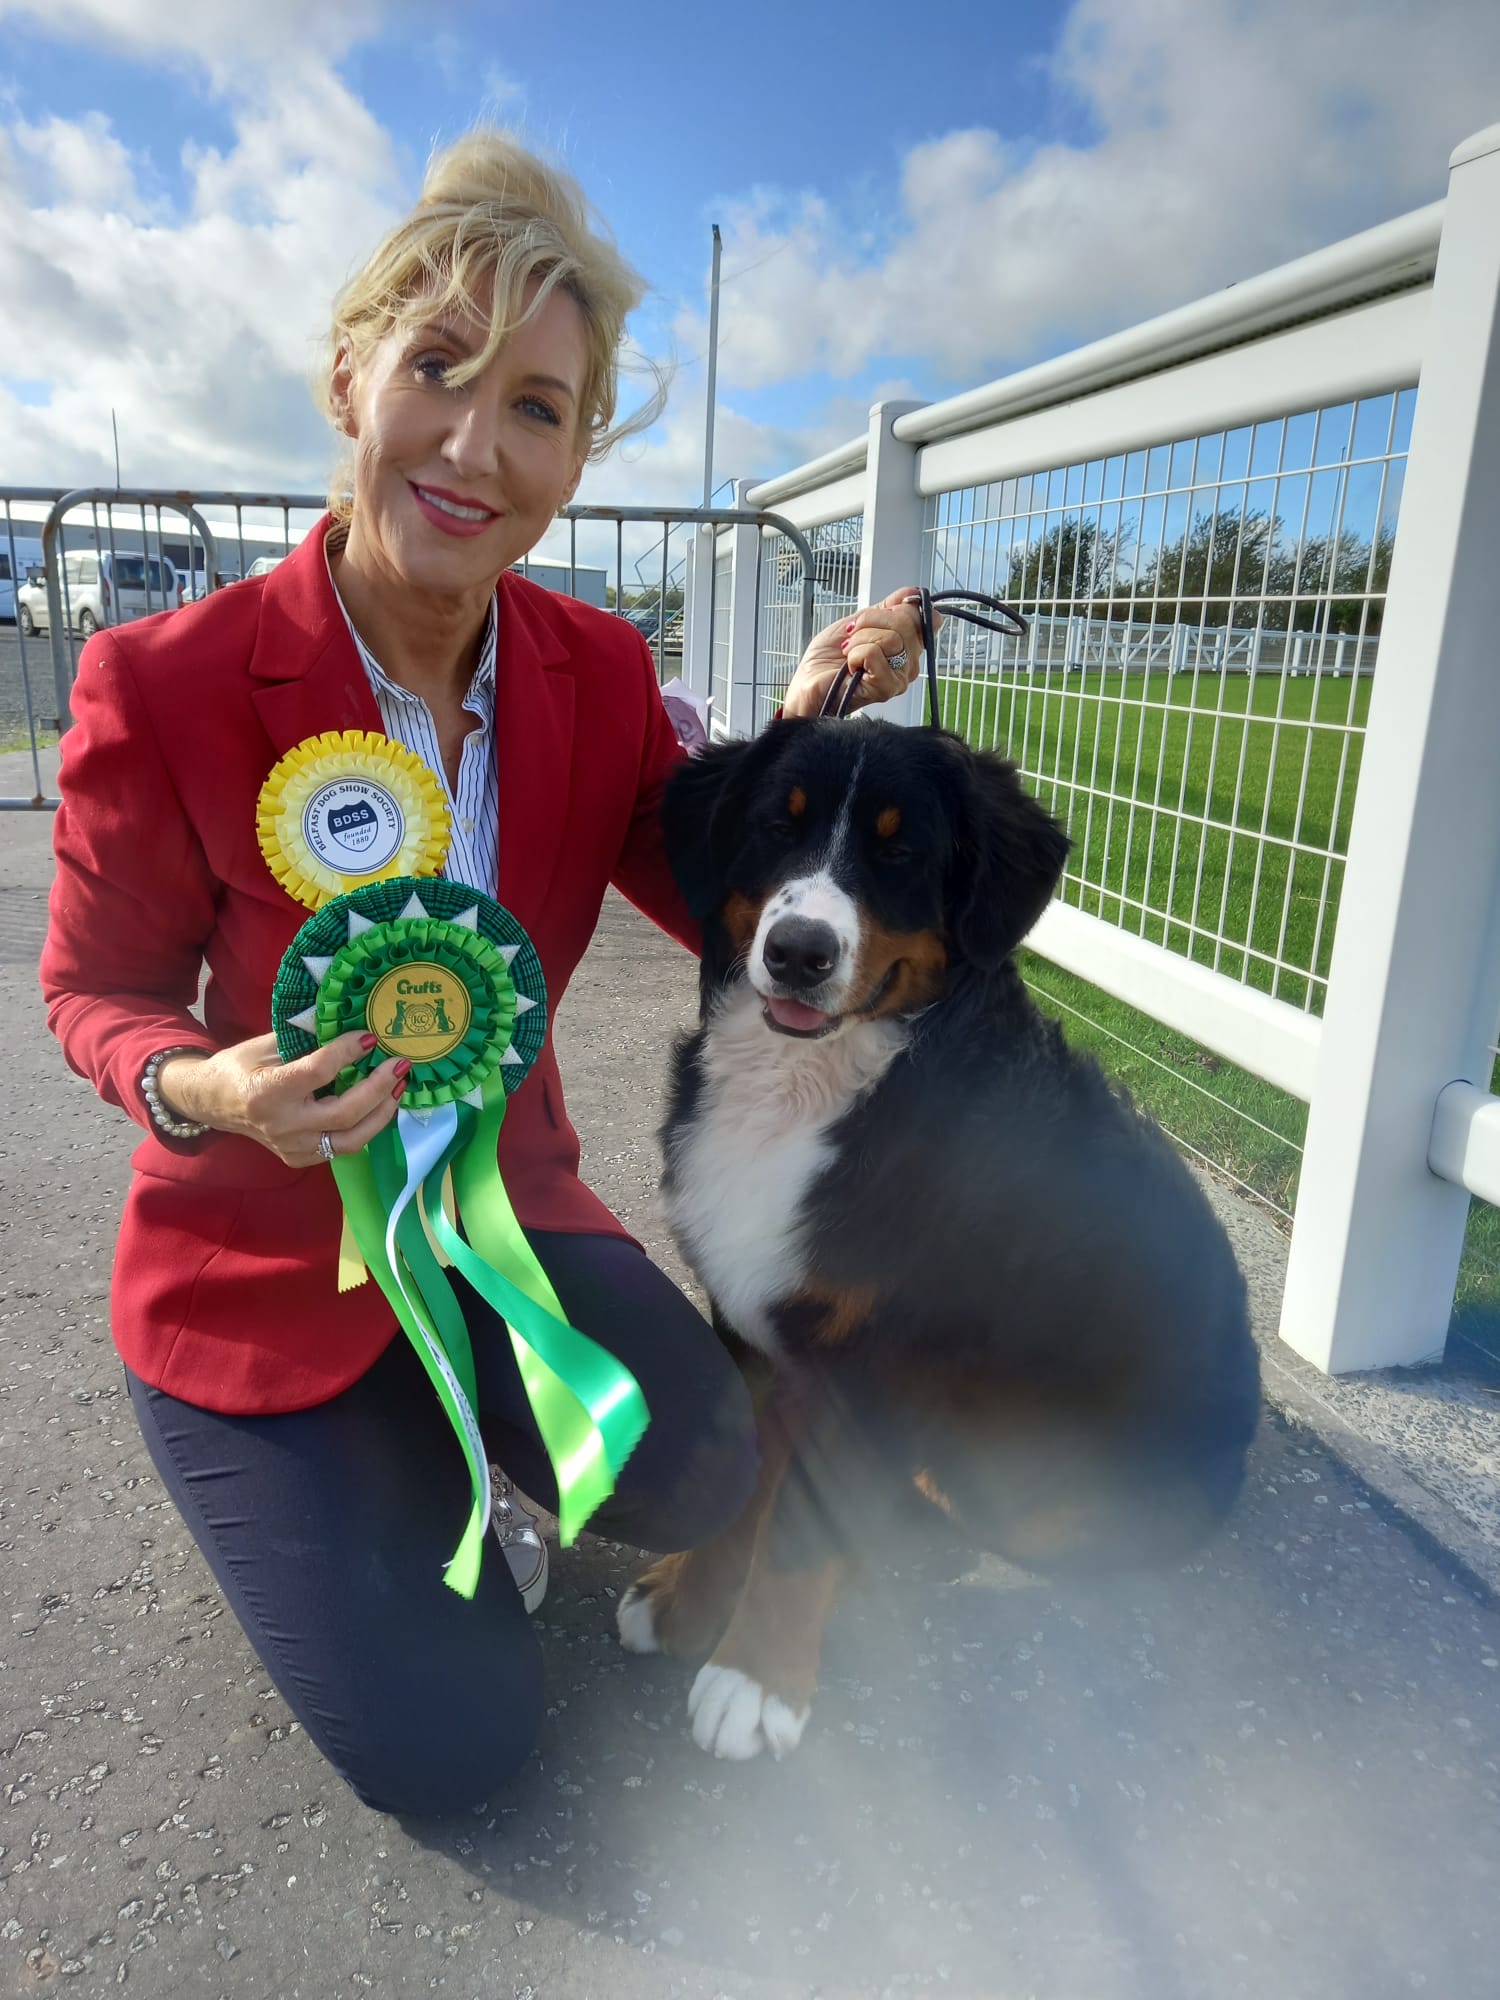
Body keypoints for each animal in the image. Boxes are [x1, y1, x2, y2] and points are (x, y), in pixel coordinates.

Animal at [616, 724, 1264, 1768]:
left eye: (902, 852)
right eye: (775, 825)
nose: (799, 952)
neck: (807, 1087)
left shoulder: (886, 1357)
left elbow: (801, 1528)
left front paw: (757, 1681)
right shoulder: (750, 1332)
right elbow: (742, 1481)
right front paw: (688, 1602)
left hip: (1023, 1473)